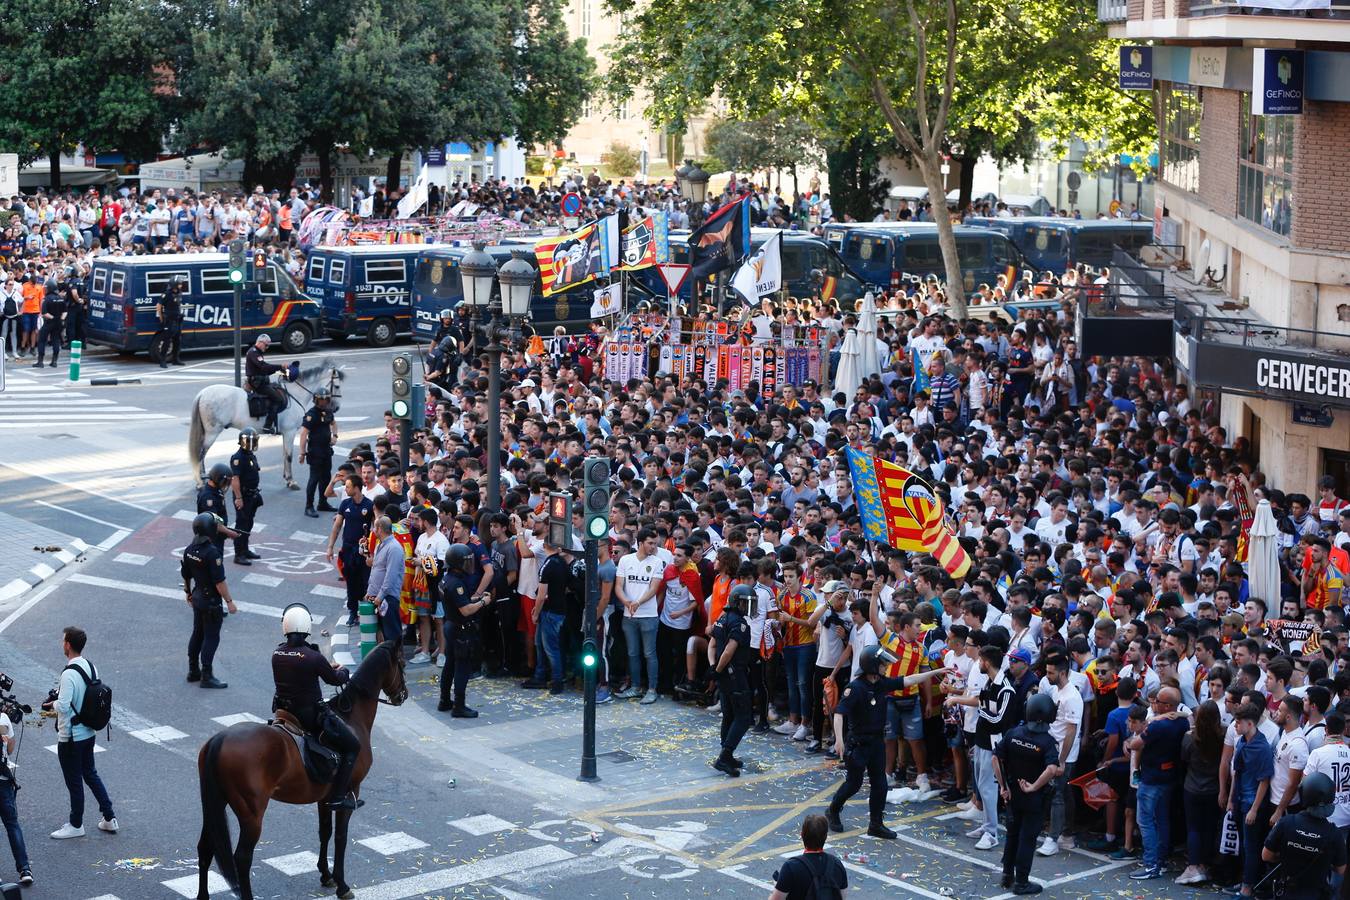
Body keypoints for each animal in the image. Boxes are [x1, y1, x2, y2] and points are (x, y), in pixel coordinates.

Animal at [189, 356, 345, 488]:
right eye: (337, 386)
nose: (336, 408)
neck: (294, 395)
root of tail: (202, 393)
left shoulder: (285, 434)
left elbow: (284, 455)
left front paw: (286, 477)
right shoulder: (290, 432)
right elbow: (289, 456)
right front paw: (291, 481)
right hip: (212, 433)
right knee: (200, 454)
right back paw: (200, 481)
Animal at [195, 639, 405, 900]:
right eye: (402, 663)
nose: (403, 695)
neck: (351, 717)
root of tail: (219, 740)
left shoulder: (325, 798)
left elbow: (325, 832)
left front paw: (326, 875)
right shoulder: (348, 793)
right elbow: (341, 837)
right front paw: (342, 884)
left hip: (215, 803)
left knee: (205, 848)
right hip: (251, 814)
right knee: (242, 858)